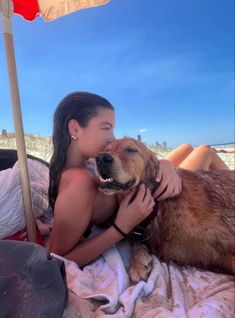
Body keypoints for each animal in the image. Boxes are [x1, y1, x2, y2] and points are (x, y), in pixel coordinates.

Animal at [95, 137, 235, 280]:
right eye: (106, 149)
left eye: (130, 150)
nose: (101, 158)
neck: (158, 203)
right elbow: (138, 244)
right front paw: (137, 265)